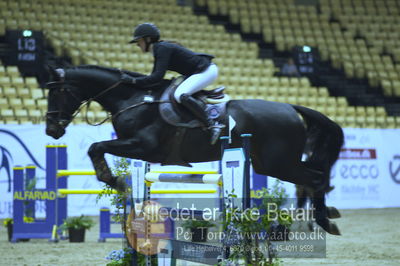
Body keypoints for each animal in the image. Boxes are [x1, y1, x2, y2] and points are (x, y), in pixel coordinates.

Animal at [43, 65, 344, 235]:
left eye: (57, 93)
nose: (51, 131)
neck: (132, 99)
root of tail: (291, 108)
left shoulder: (143, 146)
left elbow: (96, 148)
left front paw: (114, 180)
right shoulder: (140, 151)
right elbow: (98, 149)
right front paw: (118, 182)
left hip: (278, 163)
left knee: (315, 179)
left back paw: (325, 221)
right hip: (270, 163)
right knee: (313, 178)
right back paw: (324, 216)